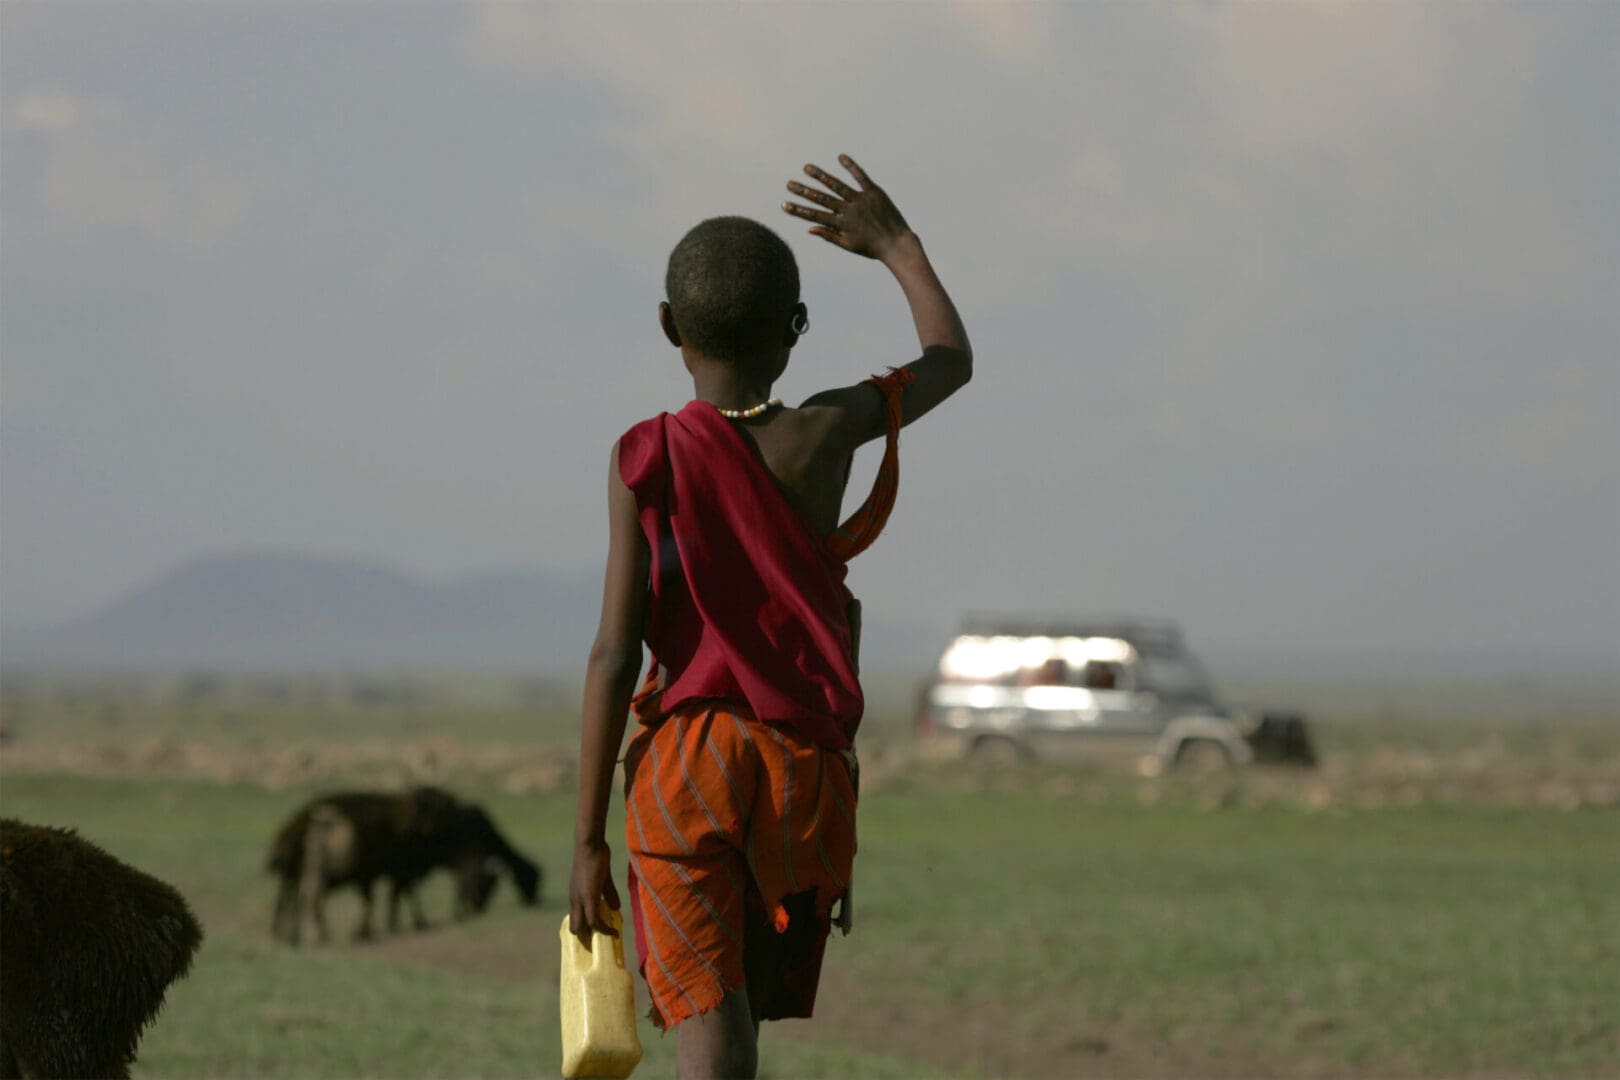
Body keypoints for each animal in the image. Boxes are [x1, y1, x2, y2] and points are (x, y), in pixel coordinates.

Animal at [268, 786, 541, 945]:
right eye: (490, 881)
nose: (477, 907)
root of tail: (320, 815)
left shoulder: (384, 873)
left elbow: (391, 896)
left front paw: (380, 927)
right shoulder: (402, 869)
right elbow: (401, 894)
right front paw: (407, 923)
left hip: (309, 871)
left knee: (296, 895)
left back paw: (292, 933)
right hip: (319, 873)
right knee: (308, 896)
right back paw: (314, 934)